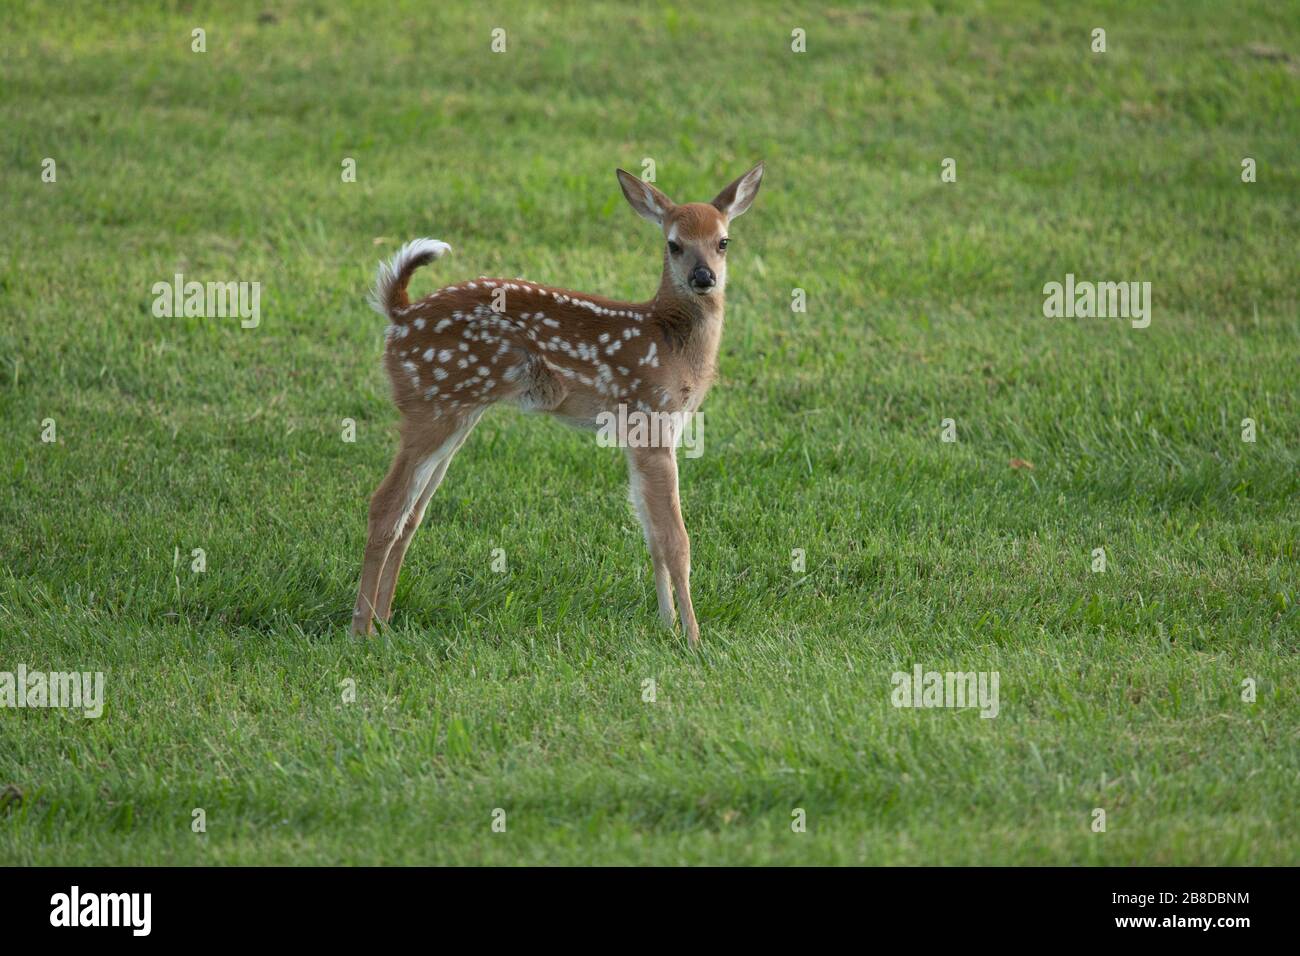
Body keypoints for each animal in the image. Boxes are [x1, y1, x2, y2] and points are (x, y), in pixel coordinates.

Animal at [351, 164, 764, 647]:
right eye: (674, 243)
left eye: (723, 241)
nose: (703, 277)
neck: (669, 340)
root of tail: (398, 315)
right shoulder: (652, 418)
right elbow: (675, 540)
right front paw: (694, 638)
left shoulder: (642, 433)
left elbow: (652, 536)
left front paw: (666, 627)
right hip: (432, 407)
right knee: (386, 504)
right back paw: (360, 631)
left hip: (455, 413)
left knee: (412, 514)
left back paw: (383, 621)